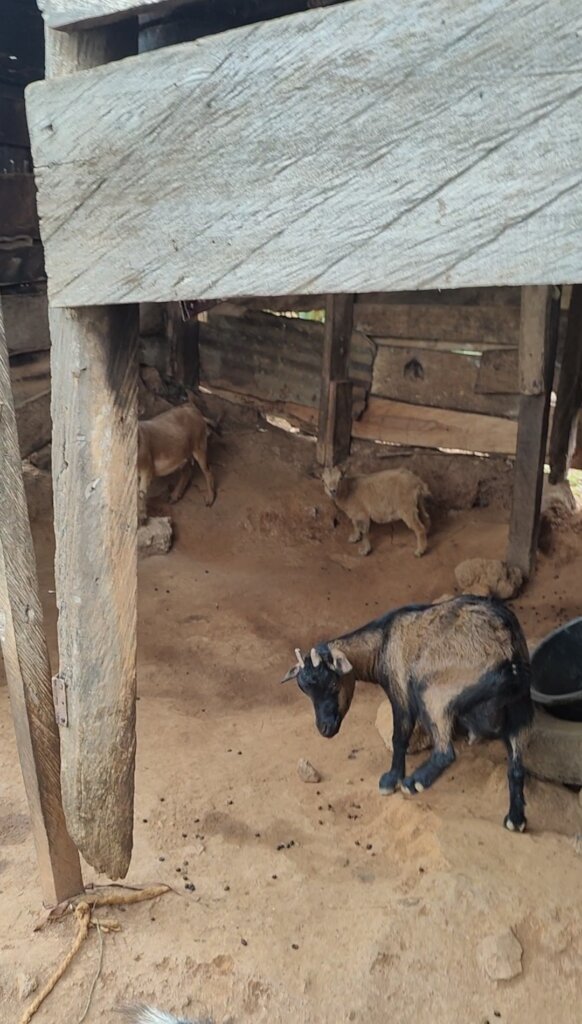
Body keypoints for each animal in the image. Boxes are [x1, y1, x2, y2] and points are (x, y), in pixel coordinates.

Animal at [281, 595, 533, 831]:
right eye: (305, 690)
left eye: (333, 684)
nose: (325, 728)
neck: (383, 640)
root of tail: (507, 653)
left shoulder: (399, 690)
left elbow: (399, 736)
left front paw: (391, 780)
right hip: (519, 708)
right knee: (516, 767)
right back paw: (515, 819)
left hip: (433, 692)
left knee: (445, 752)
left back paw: (414, 783)